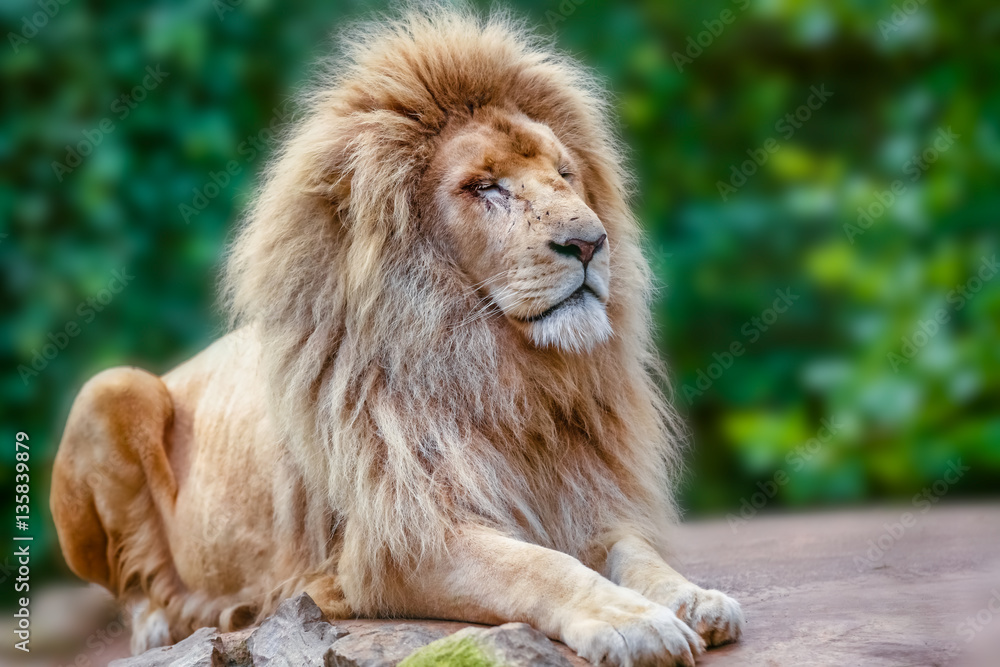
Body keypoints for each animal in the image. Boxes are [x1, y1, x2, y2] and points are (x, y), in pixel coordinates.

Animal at [50, 6, 743, 666]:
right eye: (484, 187)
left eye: (566, 174)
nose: (591, 242)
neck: (511, 382)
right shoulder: (401, 544)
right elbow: (542, 567)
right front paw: (635, 624)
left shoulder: (585, 499)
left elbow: (639, 556)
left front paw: (695, 598)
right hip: (109, 387)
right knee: (135, 587)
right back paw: (183, 619)